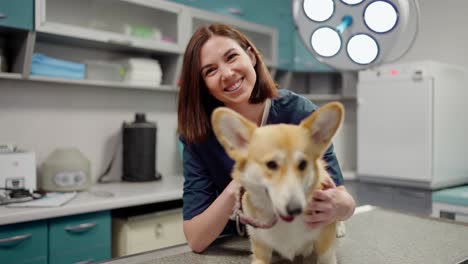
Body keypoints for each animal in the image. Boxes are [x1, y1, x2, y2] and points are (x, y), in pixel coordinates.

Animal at [211, 101, 344, 264]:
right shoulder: (260, 250)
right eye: (271, 164)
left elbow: (326, 255)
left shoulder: (325, 244)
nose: (295, 209)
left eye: (303, 164)